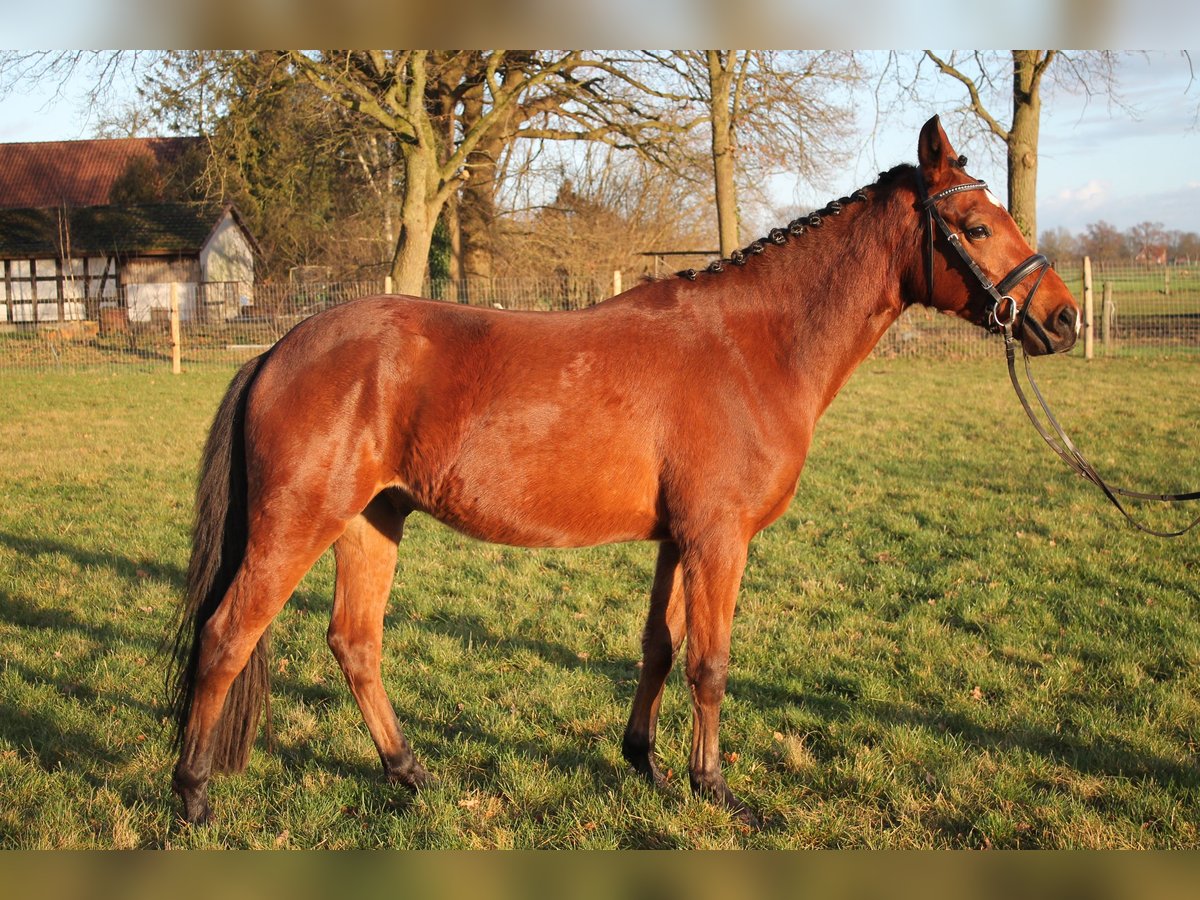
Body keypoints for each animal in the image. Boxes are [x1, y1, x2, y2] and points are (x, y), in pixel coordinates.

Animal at [166, 116, 1080, 830]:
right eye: (976, 226)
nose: (1063, 318)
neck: (750, 348)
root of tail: (277, 351)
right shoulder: (719, 541)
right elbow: (710, 663)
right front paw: (715, 789)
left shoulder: (679, 540)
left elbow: (659, 648)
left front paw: (646, 763)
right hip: (298, 524)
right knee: (226, 637)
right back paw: (193, 795)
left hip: (371, 520)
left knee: (355, 644)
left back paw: (409, 774)